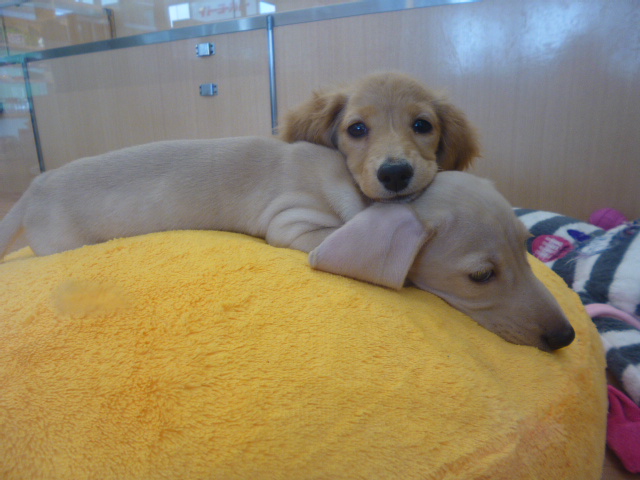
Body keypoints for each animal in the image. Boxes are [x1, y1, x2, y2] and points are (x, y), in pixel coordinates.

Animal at [0, 137, 573, 351]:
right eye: (481, 276)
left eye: (526, 250)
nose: (566, 336)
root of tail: (31, 190)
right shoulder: (292, 221)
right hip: (61, 240)